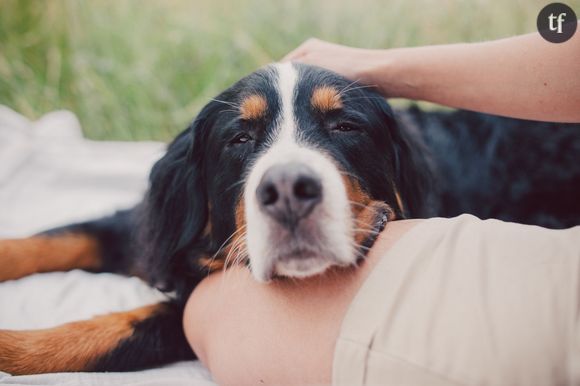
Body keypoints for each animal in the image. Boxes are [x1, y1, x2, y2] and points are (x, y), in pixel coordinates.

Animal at [1, 62, 580, 374]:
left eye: (345, 126)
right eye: (240, 138)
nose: (286, 191)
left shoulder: (198, 302)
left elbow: (100, 333)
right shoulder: (144, 231)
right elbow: (55, 238)